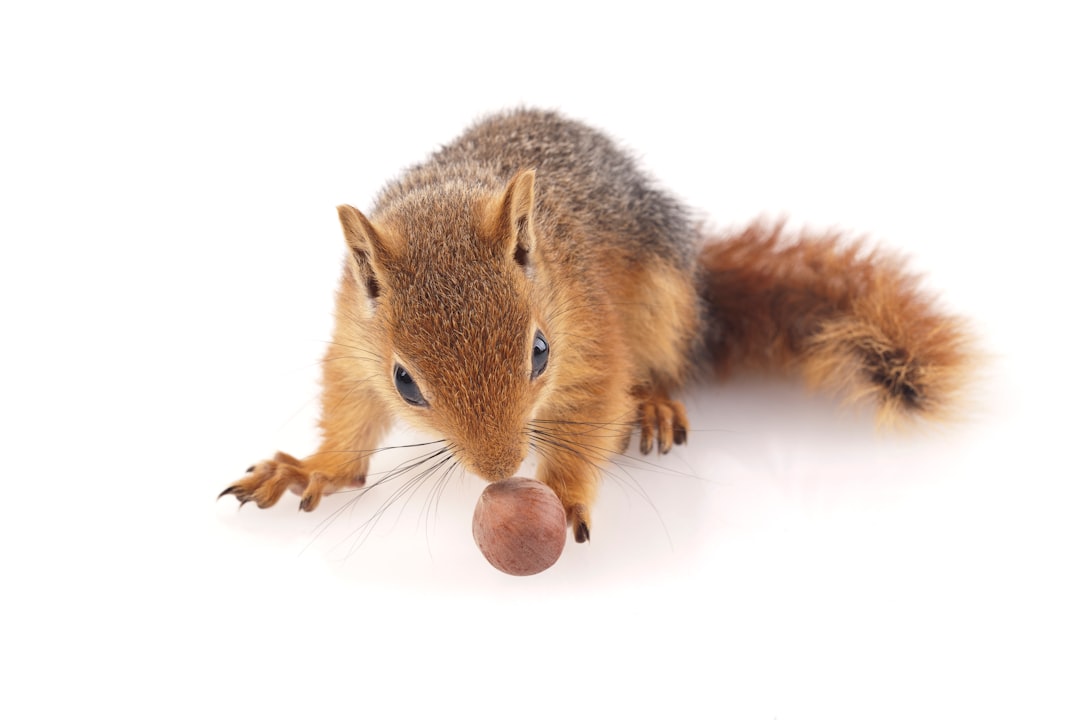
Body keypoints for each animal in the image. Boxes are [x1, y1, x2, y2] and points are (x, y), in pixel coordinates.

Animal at [217, 110, 972, 544]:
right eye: (405, 383)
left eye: (540, 353)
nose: (501, 469)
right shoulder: (354, 343)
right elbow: (349, 423)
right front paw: (309, 469)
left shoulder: (590, 331)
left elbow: (592, 406)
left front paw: (561, 494)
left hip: (665, 301)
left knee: (667, 361)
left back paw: (656, 402)